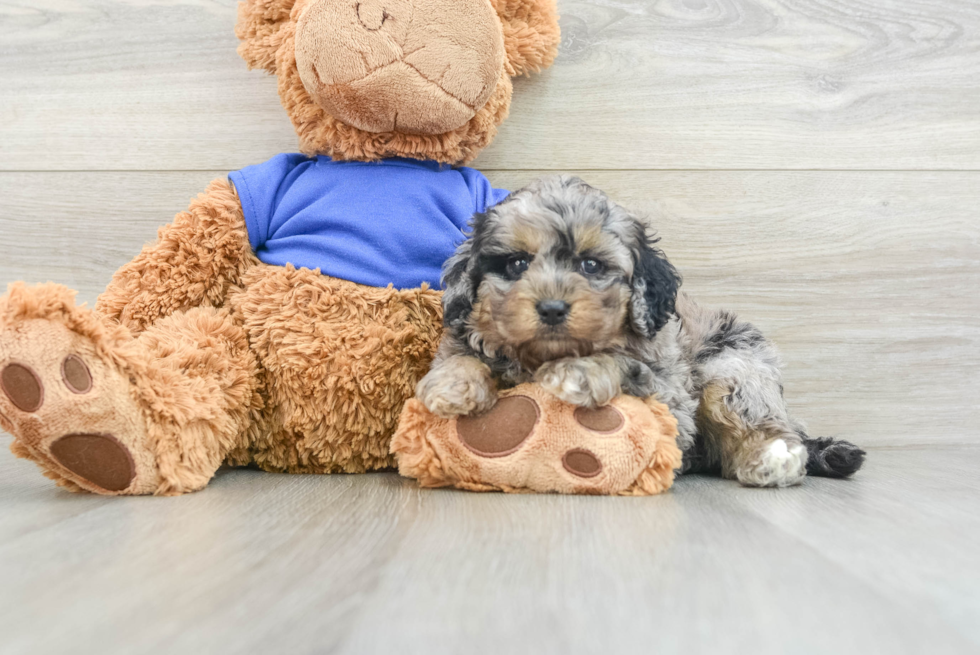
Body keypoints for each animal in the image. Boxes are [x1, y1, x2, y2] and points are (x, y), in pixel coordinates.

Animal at [416, 174, 864, 486]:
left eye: (591, 265)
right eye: (516, 264)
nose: (552, 308)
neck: (542, 355)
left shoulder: (670, 396)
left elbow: (624, 363)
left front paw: (580, 372)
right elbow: (464, 356)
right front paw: (451, 384)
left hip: (731, 364)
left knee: (757, 418)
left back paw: (772, 457)